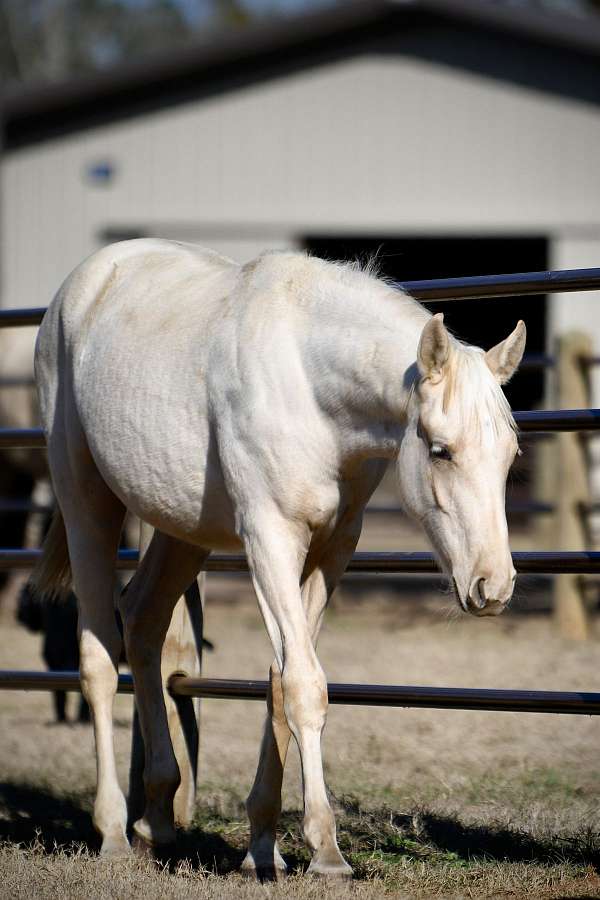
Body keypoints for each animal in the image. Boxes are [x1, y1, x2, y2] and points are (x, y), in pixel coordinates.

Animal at [34, 241, 524, 880]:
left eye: (511, 454)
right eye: (441, 450)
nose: (494, 586)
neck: (308, 382)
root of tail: (84, 282)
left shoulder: (332, 549)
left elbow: (279, 684)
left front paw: (262, 847)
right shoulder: (269, 538)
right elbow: (305, 685)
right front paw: (327, 852)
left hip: (180, 528)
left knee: (142, 620)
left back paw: (156, 821)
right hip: (85, 500)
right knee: (96, 656)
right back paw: (114, 832)